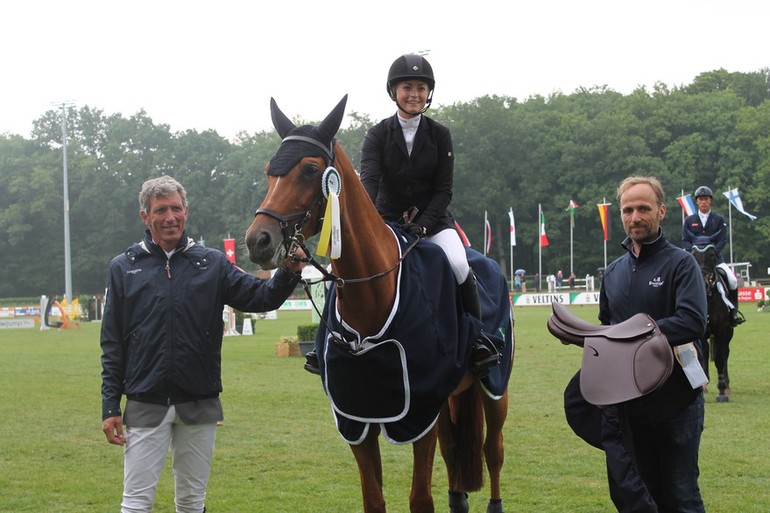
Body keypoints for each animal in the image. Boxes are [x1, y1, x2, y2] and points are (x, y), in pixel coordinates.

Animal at [243, 94, 512, 510]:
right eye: (269, 171)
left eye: (309, 170)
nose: (258, 241)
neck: (372, 298)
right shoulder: (356, 416)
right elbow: (373, 498)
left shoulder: (419, 412)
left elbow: (420, 498)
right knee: (454, 448)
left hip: (494, 385)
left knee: (493, 449)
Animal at [688, 242, 732, 402]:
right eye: (693, 255)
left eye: (712, 255)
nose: (703, 284)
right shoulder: (701, 332)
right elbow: (704, 354)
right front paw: (703, 385)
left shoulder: (721, 329)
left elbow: (719, 357)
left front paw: (722, 390)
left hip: (729, 332)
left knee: (725, 352)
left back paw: (727, 385)